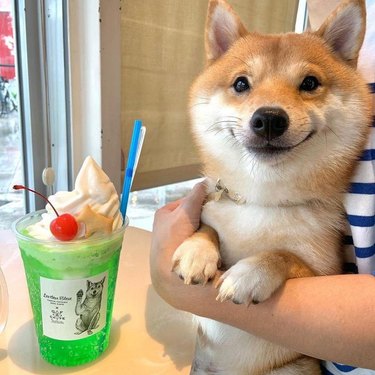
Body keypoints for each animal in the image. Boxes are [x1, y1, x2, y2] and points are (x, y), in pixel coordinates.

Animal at [173, 0, 374, 374]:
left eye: (310, 83)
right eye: (240, 84)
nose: (268, 119)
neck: (262, 200)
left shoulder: (323, 273)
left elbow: (284, 255)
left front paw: (249, 273)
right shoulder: (212, 209)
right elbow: (208, 228)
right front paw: (197, 251)